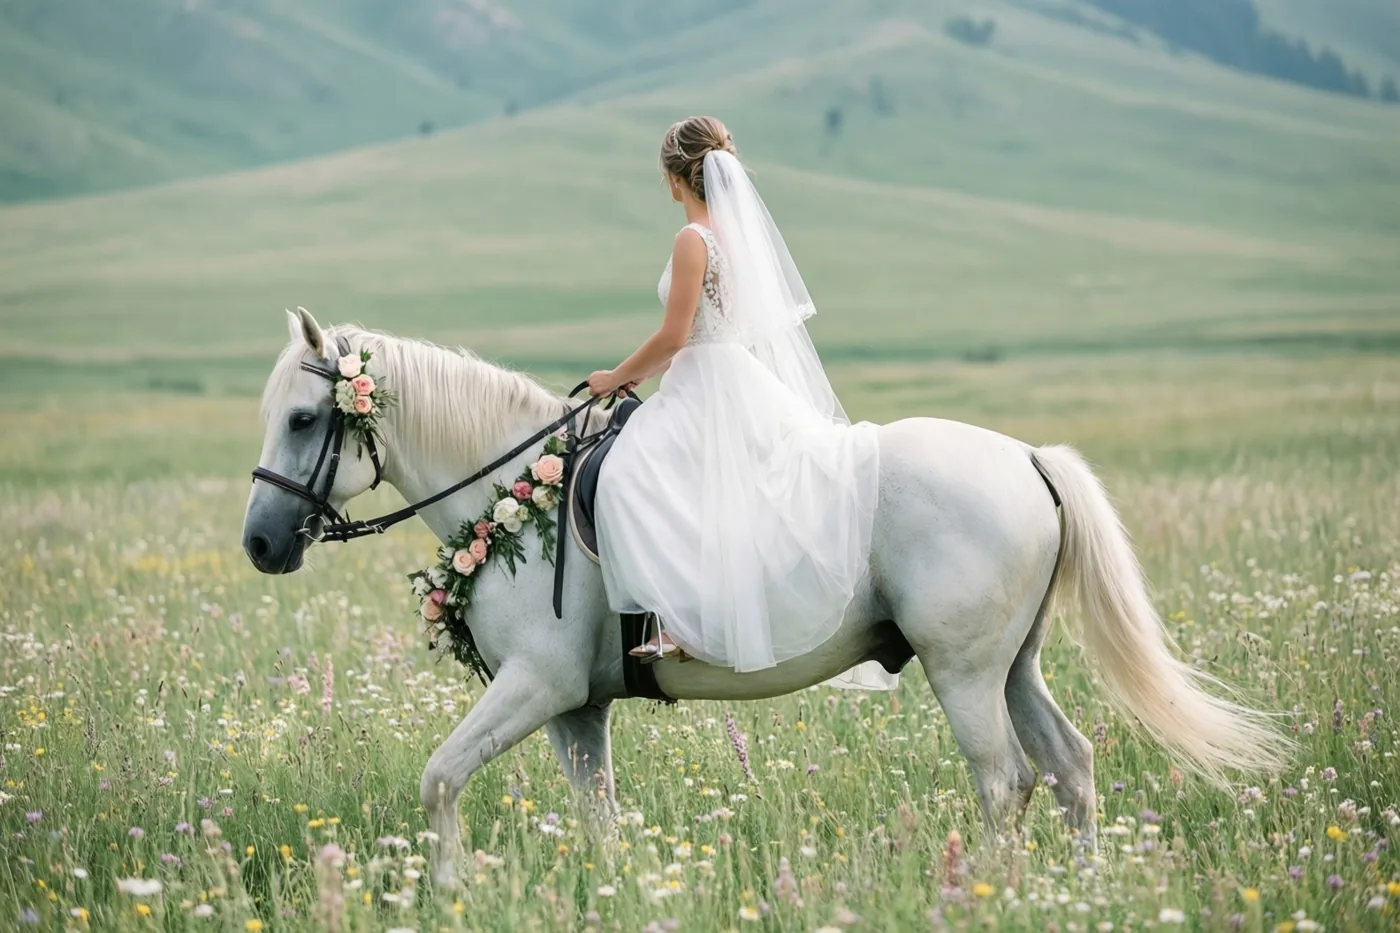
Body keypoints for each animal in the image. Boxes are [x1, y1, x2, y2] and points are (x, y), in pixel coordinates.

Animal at [243, 308, 1290, 888]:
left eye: (302, 418)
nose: (258, 544)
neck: (513, 496)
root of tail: (1028, 457)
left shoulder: (535, 687)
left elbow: (438, 778)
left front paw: (452, 891)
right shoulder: (576, 709)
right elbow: (600, 820)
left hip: (962, 671)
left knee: (1005, 783)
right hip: (1013, 663)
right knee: (1070, 767)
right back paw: (1080, 891)